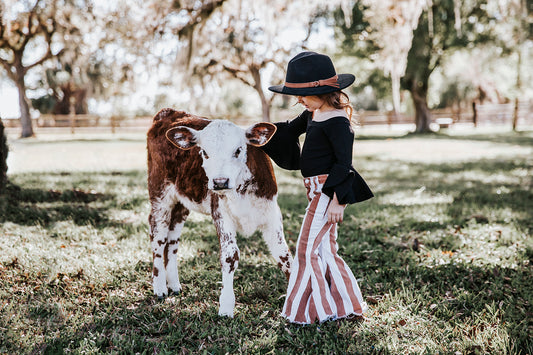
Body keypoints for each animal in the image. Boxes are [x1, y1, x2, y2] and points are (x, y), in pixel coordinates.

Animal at [148, 108, 294, 318]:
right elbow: (229, 256)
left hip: (181, 203)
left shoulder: (272, 215)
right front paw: (226, 306)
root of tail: (168, 112)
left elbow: (284, 256)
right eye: (204, 152)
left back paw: (174, 284)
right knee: (158, 238)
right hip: (159, 196)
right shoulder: (221, 214)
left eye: (238, 150)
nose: (220, 182)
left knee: (172, 239)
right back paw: (159, 287)